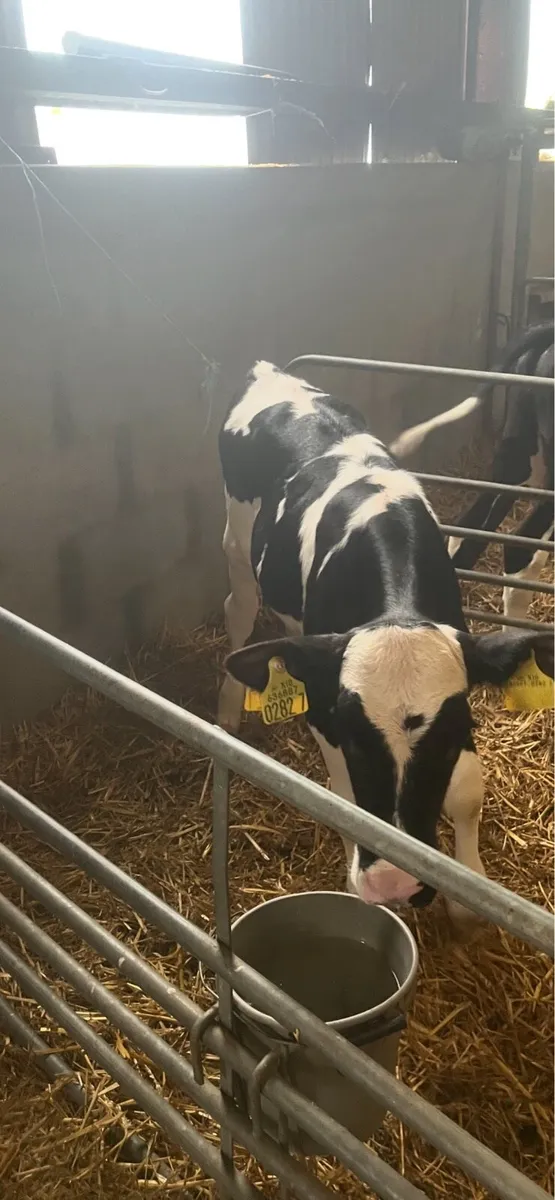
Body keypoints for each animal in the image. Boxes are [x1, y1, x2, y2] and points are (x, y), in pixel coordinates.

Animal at [217, 361, 553, 920]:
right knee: (237, 612)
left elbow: (467, 791)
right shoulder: (322, 712)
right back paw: (226, 711)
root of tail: (270, 372)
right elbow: (345, 798)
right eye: (354, 737)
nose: (396, 884)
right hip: (237, 546)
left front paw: (469, 892)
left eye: (449, 739)